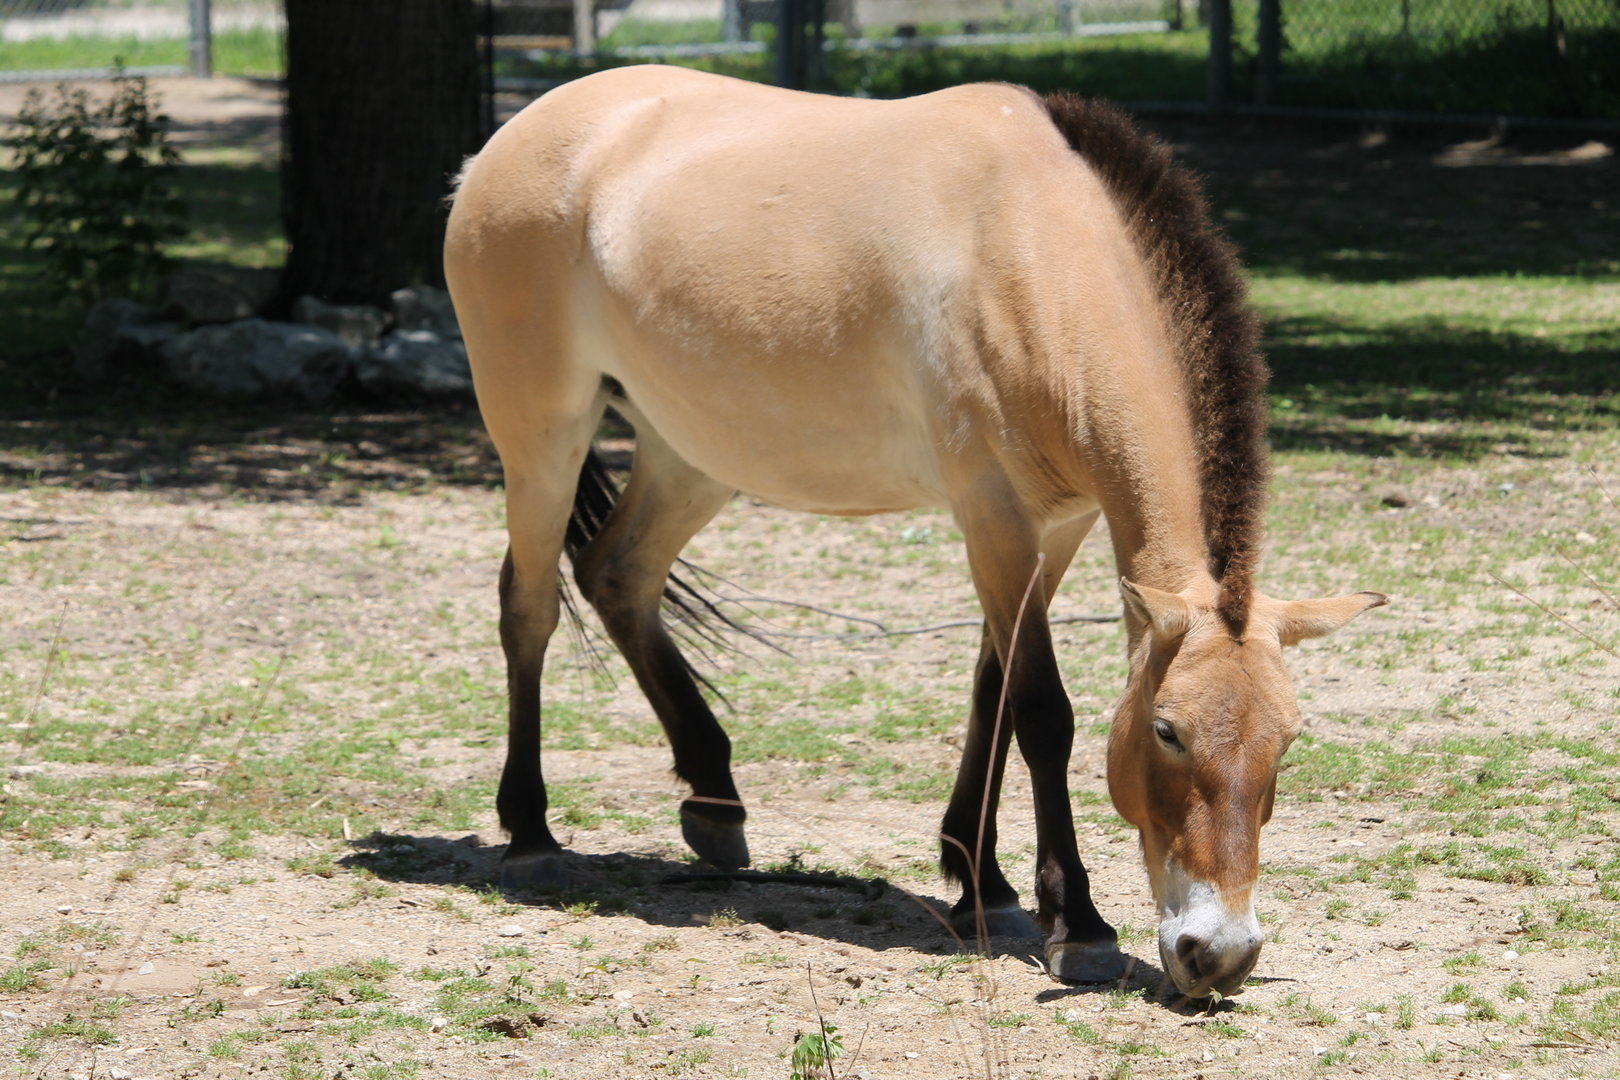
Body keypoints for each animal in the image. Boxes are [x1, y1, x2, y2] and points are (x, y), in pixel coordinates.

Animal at [443, 64, 1385, 999]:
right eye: (1166, 731)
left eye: (1288, 739)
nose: (1218, 954)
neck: (1036, 249)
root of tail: (506, 145)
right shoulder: (991, 513)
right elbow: (1041, 712)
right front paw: (1075, 922)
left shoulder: (1059, 525)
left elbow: (990, 693)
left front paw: (981, 884)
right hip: (542, 436)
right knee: (529, 607)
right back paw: (531, 835)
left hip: (690, 454)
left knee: (618, 575)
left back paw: (714, 802)